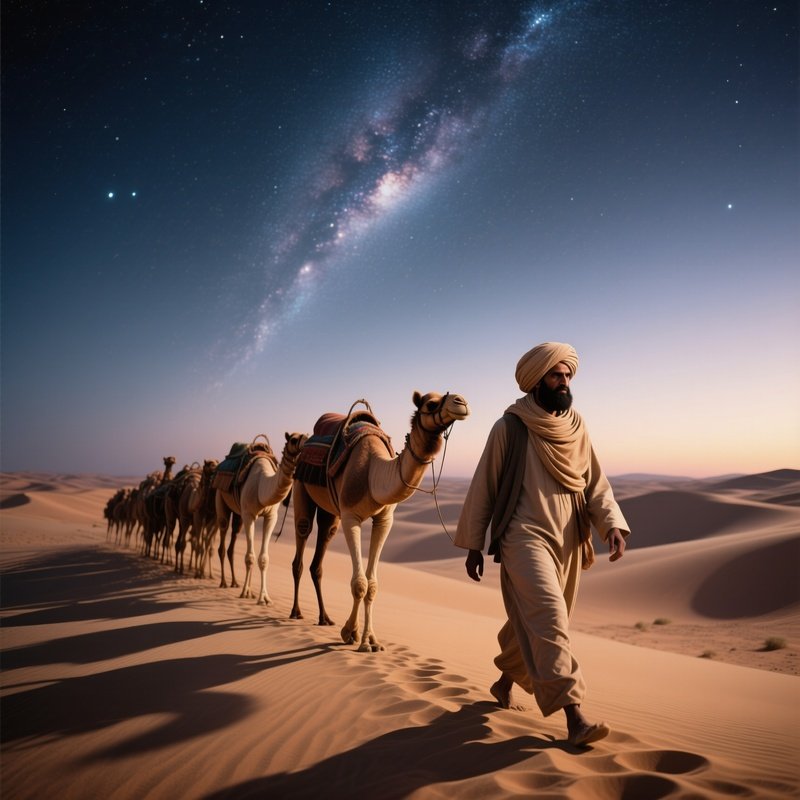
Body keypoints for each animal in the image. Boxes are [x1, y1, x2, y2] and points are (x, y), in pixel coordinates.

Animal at [215, 433, 308, 603]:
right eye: (293, 439)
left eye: (307, 435)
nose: (306, 443)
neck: (261, 486)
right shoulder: (248, 515)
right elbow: (250, 557)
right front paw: (245, 592)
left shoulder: (271, 516)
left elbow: (263, 558)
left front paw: (263, 598)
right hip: (220, 496)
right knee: (223, 538)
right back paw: (224, 583)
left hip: (239, 514)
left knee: (234, 538)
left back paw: (240, 586)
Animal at [290, 390, 469, 652]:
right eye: (430, 403)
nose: (461, 402)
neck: (372, 473)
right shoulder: (351, 517)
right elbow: (359, 583)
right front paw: (353, 635)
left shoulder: (384, 520)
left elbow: (372, 584)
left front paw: (370, 640)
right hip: (301, 485)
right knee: (302, 539)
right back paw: (296, 612)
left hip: (330, 511)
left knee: (321, 547)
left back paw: (325, 618)